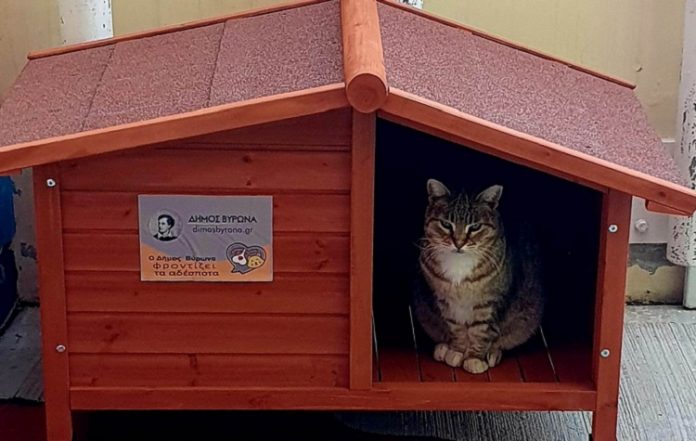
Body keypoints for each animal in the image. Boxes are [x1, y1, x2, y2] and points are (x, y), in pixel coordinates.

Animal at [413, 179, 544, 374]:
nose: (459, 243)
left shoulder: (490, 303)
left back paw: (492, 353)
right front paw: (457, 351)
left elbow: (481, 331)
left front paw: (474, 357)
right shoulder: (445, 301)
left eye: (475, 227)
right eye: (446, 224)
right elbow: (456, 328)